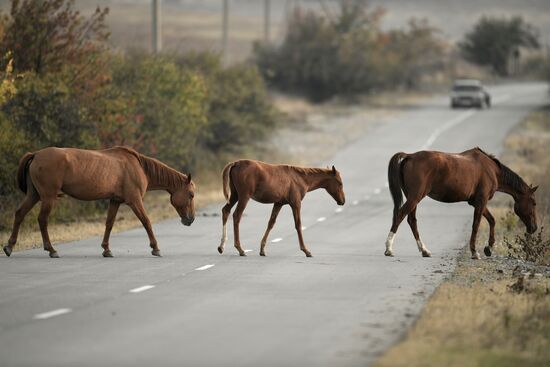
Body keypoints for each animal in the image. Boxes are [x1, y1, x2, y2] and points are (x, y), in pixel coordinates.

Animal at [1, 147, 196, 258]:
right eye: (191, 194)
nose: (191, 219)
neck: (138, 166)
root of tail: (36, 155)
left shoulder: (115, 201)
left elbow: (109, 224)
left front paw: (106, 249)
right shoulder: (134, 201)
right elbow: (146, 222)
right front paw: (155, 248)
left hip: (34, 195)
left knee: (19, 214)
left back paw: (9, 246)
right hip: (47, 197)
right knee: (42, 220)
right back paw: (51, 250)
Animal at [216, 161, 344, 258]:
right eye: (340, 183)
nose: (343, 201)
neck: (300, 178)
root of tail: (236, 163)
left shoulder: (279, 203)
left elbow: (271, 223)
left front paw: (262, 250)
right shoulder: (296, 204)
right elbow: (298, 225)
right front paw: (306, 250)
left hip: (235, 195)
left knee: (225, 211)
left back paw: (222, 246)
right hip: (244, 196)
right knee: (236, 216)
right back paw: (240, 249)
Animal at [388, 148, 540, 260]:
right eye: (533, 202)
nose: (534, 228)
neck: (491, 170)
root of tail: (410, 156)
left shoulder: (476, 202)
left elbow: (492, 220)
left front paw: (489, 248)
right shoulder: (481, 201)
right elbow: (476, 225)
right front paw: (474, 252)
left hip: (413, 199)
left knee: (411, 220)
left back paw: (424, 250)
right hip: (415, 197)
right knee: (400, 215)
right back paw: (389, 248)